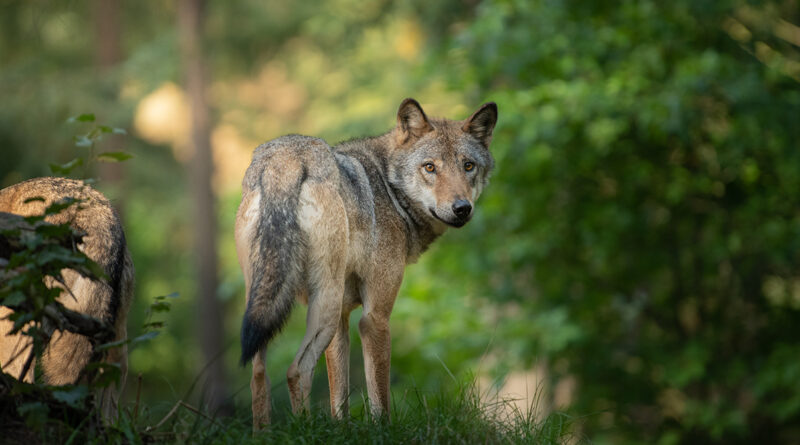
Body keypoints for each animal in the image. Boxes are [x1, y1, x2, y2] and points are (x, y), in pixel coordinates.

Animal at [236, 98, 497, 429]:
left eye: (468, 166)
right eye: (430, 167)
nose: (462, 208)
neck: (389, 188)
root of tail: (286, 160)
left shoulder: (343, 319)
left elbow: (340, 398)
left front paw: (340, 430)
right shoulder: (374, 317)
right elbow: (379, 398)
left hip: (266, 305)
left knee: (258, 375)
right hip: (325, 304)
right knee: (296, 371)